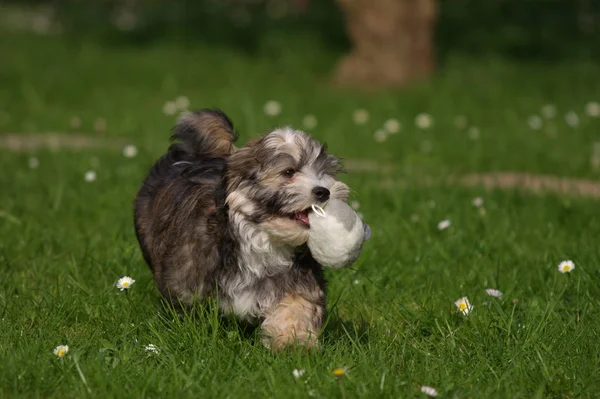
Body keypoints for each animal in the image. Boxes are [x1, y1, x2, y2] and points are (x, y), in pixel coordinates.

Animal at [134, 109, 350, 350]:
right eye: (288, 172)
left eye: (325, 173)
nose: (323, 191)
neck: (260, 236)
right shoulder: (187, 273)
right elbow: (190, 305)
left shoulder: (298, 277)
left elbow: (296, 305)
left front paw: (293, 342)